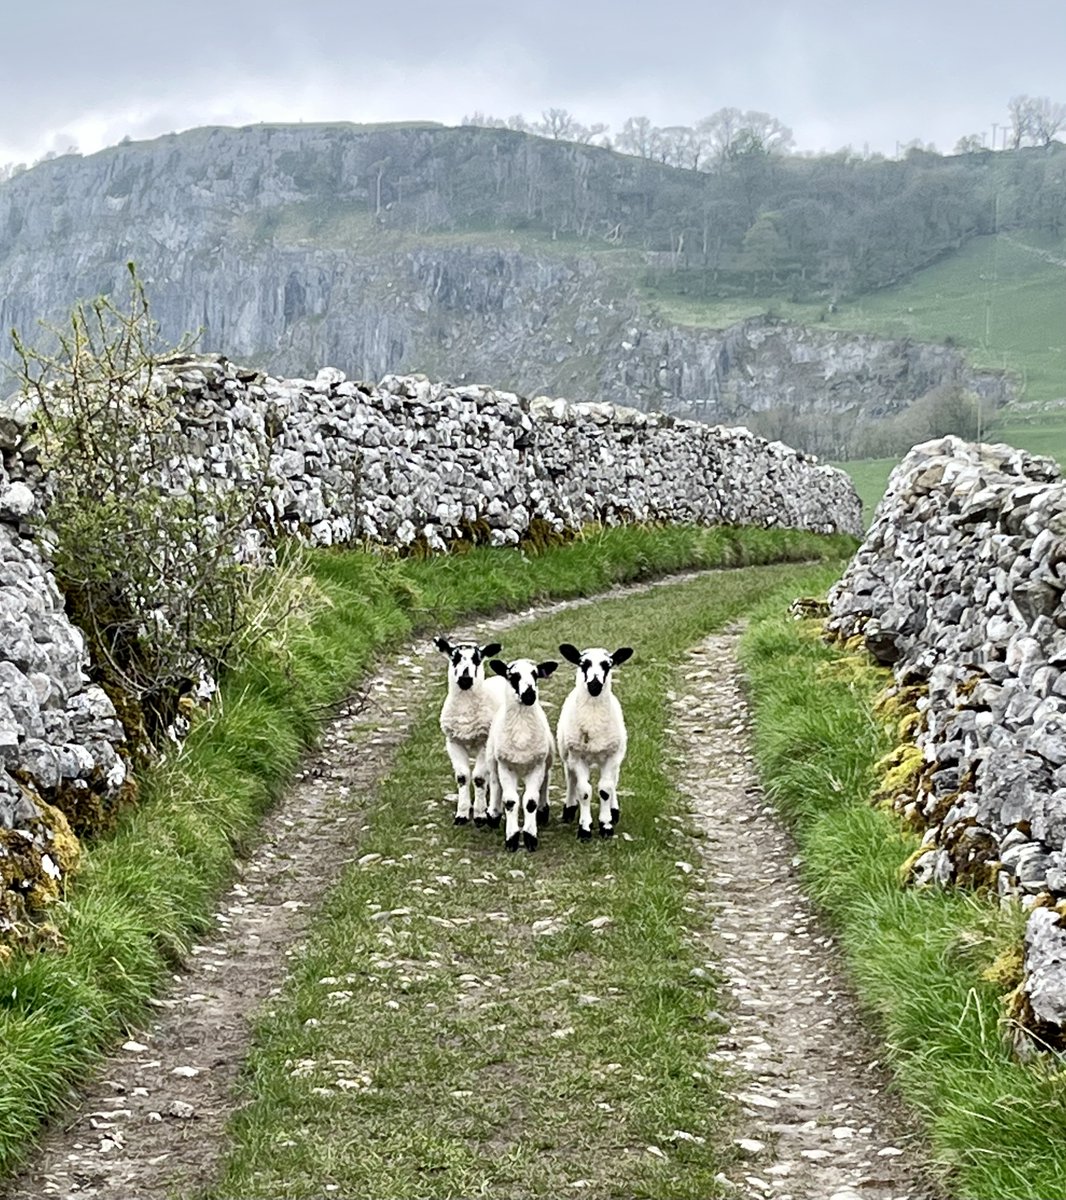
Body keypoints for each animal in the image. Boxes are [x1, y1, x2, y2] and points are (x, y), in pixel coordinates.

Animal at [434, 638, 506, 825]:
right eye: (454, 658)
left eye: (477, 659)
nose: (465, 679)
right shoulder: (453, 742)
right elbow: (463, 777)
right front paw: (462, 814)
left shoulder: (484, 743)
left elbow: (479, 778)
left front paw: (480, 815)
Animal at [484, 657, 561, 854]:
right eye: (513, 676)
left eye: (535, 674)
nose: (529, 695)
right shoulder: (506, 766)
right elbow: (511, 801)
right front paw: (511, 839)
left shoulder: (537, 766)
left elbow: (530, 802)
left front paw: (529, 837)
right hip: (493, 760)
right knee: (495, 784)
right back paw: (493, 814)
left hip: (546, 761)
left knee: (545, 782)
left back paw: (542, 811)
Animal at [557, 643, 633, 840]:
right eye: (583, 663)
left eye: (608, 665)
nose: (594, 685)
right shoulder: (577, 756)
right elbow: (584, 791)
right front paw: (585, 828)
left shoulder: (612, 756)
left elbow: (605, 790)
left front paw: (606, 825)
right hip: (567, 754)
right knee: (571, 778)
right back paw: (569, 808)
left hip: (617, 752)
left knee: (614, 780)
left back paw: (614, 811)